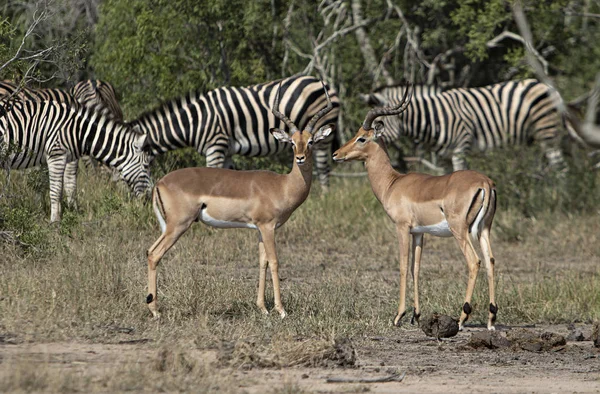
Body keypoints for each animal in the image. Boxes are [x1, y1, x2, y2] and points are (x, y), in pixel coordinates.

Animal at [0, 98, 150, 222]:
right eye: (146, 166)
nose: (148, 198)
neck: (78, 131)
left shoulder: (59, 158)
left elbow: (60, 188)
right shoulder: (56, 154)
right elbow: (55, 191)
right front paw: (55, 222)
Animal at [129, 76, 340, 189]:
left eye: (146, 165)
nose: (139, 202)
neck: (197, 120)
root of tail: (324, 83)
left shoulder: (216, 144)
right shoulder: (228, 150)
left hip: (322, 134)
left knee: (323, 167)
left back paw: (323, 198)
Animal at [360, 79, 572, 172]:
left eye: (378, 124)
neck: (435, 117)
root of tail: (548, 86)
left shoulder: (460, 149)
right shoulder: (443, 158)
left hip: (547, 131)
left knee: (560, 166)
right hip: (533, 138)